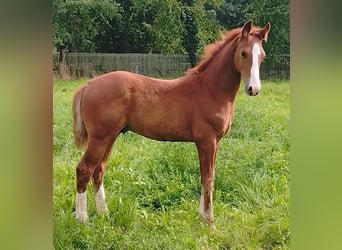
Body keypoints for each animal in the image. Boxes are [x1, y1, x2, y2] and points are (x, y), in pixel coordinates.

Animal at [71, 21, 270, 228]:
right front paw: (210, 222)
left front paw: (202, 216)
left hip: (111, 136)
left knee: (98, 170)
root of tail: (87, 86)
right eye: (243, 53)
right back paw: (82, 218)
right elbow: (208, 179)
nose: (254, 89)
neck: (210, 90)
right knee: (84, 169)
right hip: (100, 138)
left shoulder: (216, 142)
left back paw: (104, 214)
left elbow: (207, 178)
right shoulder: (206, 141)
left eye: (262, 55)